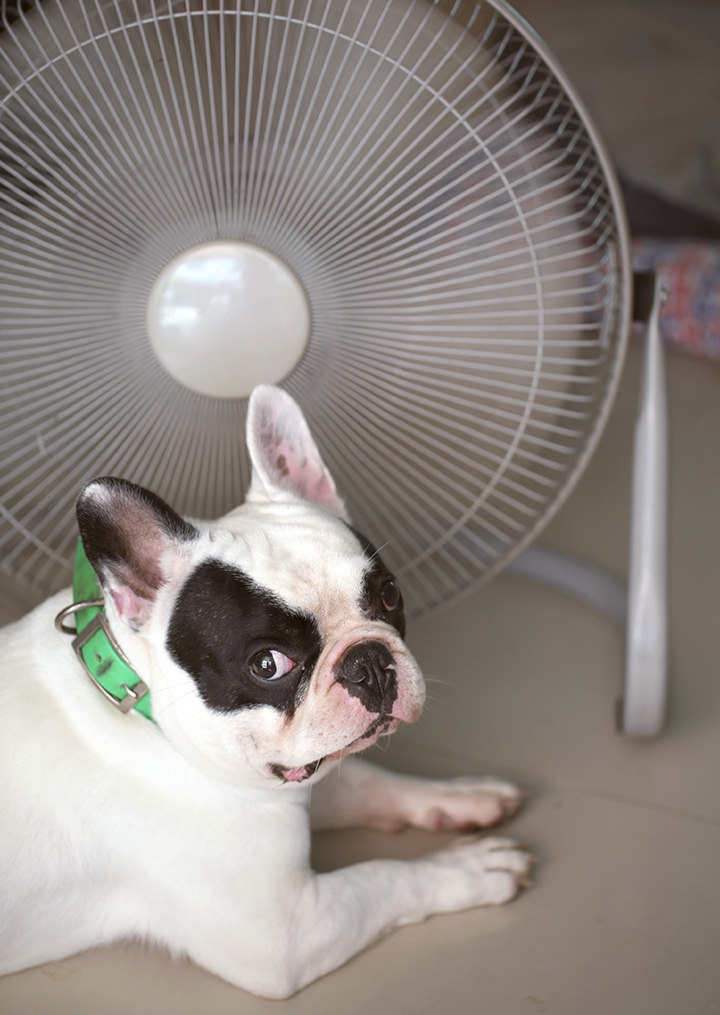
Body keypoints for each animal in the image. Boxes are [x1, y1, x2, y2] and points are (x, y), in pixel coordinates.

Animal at [1, 383, 532, 994]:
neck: (141, 705)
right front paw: (468, 867)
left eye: (390, 594)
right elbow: (389, 876)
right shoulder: (289, 933)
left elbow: (370, 782)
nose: (369, 663)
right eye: (267, 664)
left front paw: (461, 796)